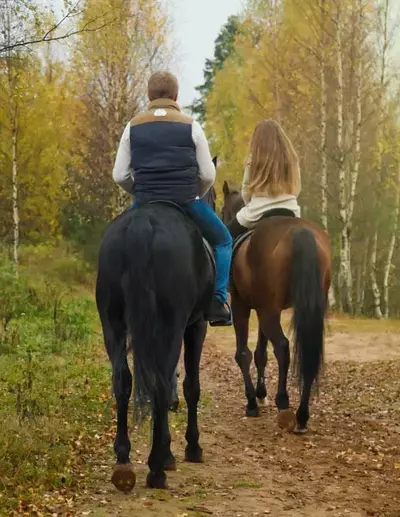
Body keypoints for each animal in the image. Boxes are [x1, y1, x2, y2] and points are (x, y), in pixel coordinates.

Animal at [95, 201, 214, 488]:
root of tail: (143, 225)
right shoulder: (196, 326)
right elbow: (190, 386)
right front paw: (190, 448)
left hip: (112, 323)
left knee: (122, 380)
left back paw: (123, 461)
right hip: (172, 324)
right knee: (160, 384)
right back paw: (156, 468)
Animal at [222, 181, 332, 432]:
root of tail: (301, 233)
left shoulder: (242, 306)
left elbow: (244, 353)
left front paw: (252, 402)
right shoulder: (264, 308)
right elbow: (261, 353)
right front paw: (260, 394)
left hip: (267, 312)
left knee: (282, 347)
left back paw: (283, 402)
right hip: (298, 310)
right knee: (308, 353)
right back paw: (302, 415)